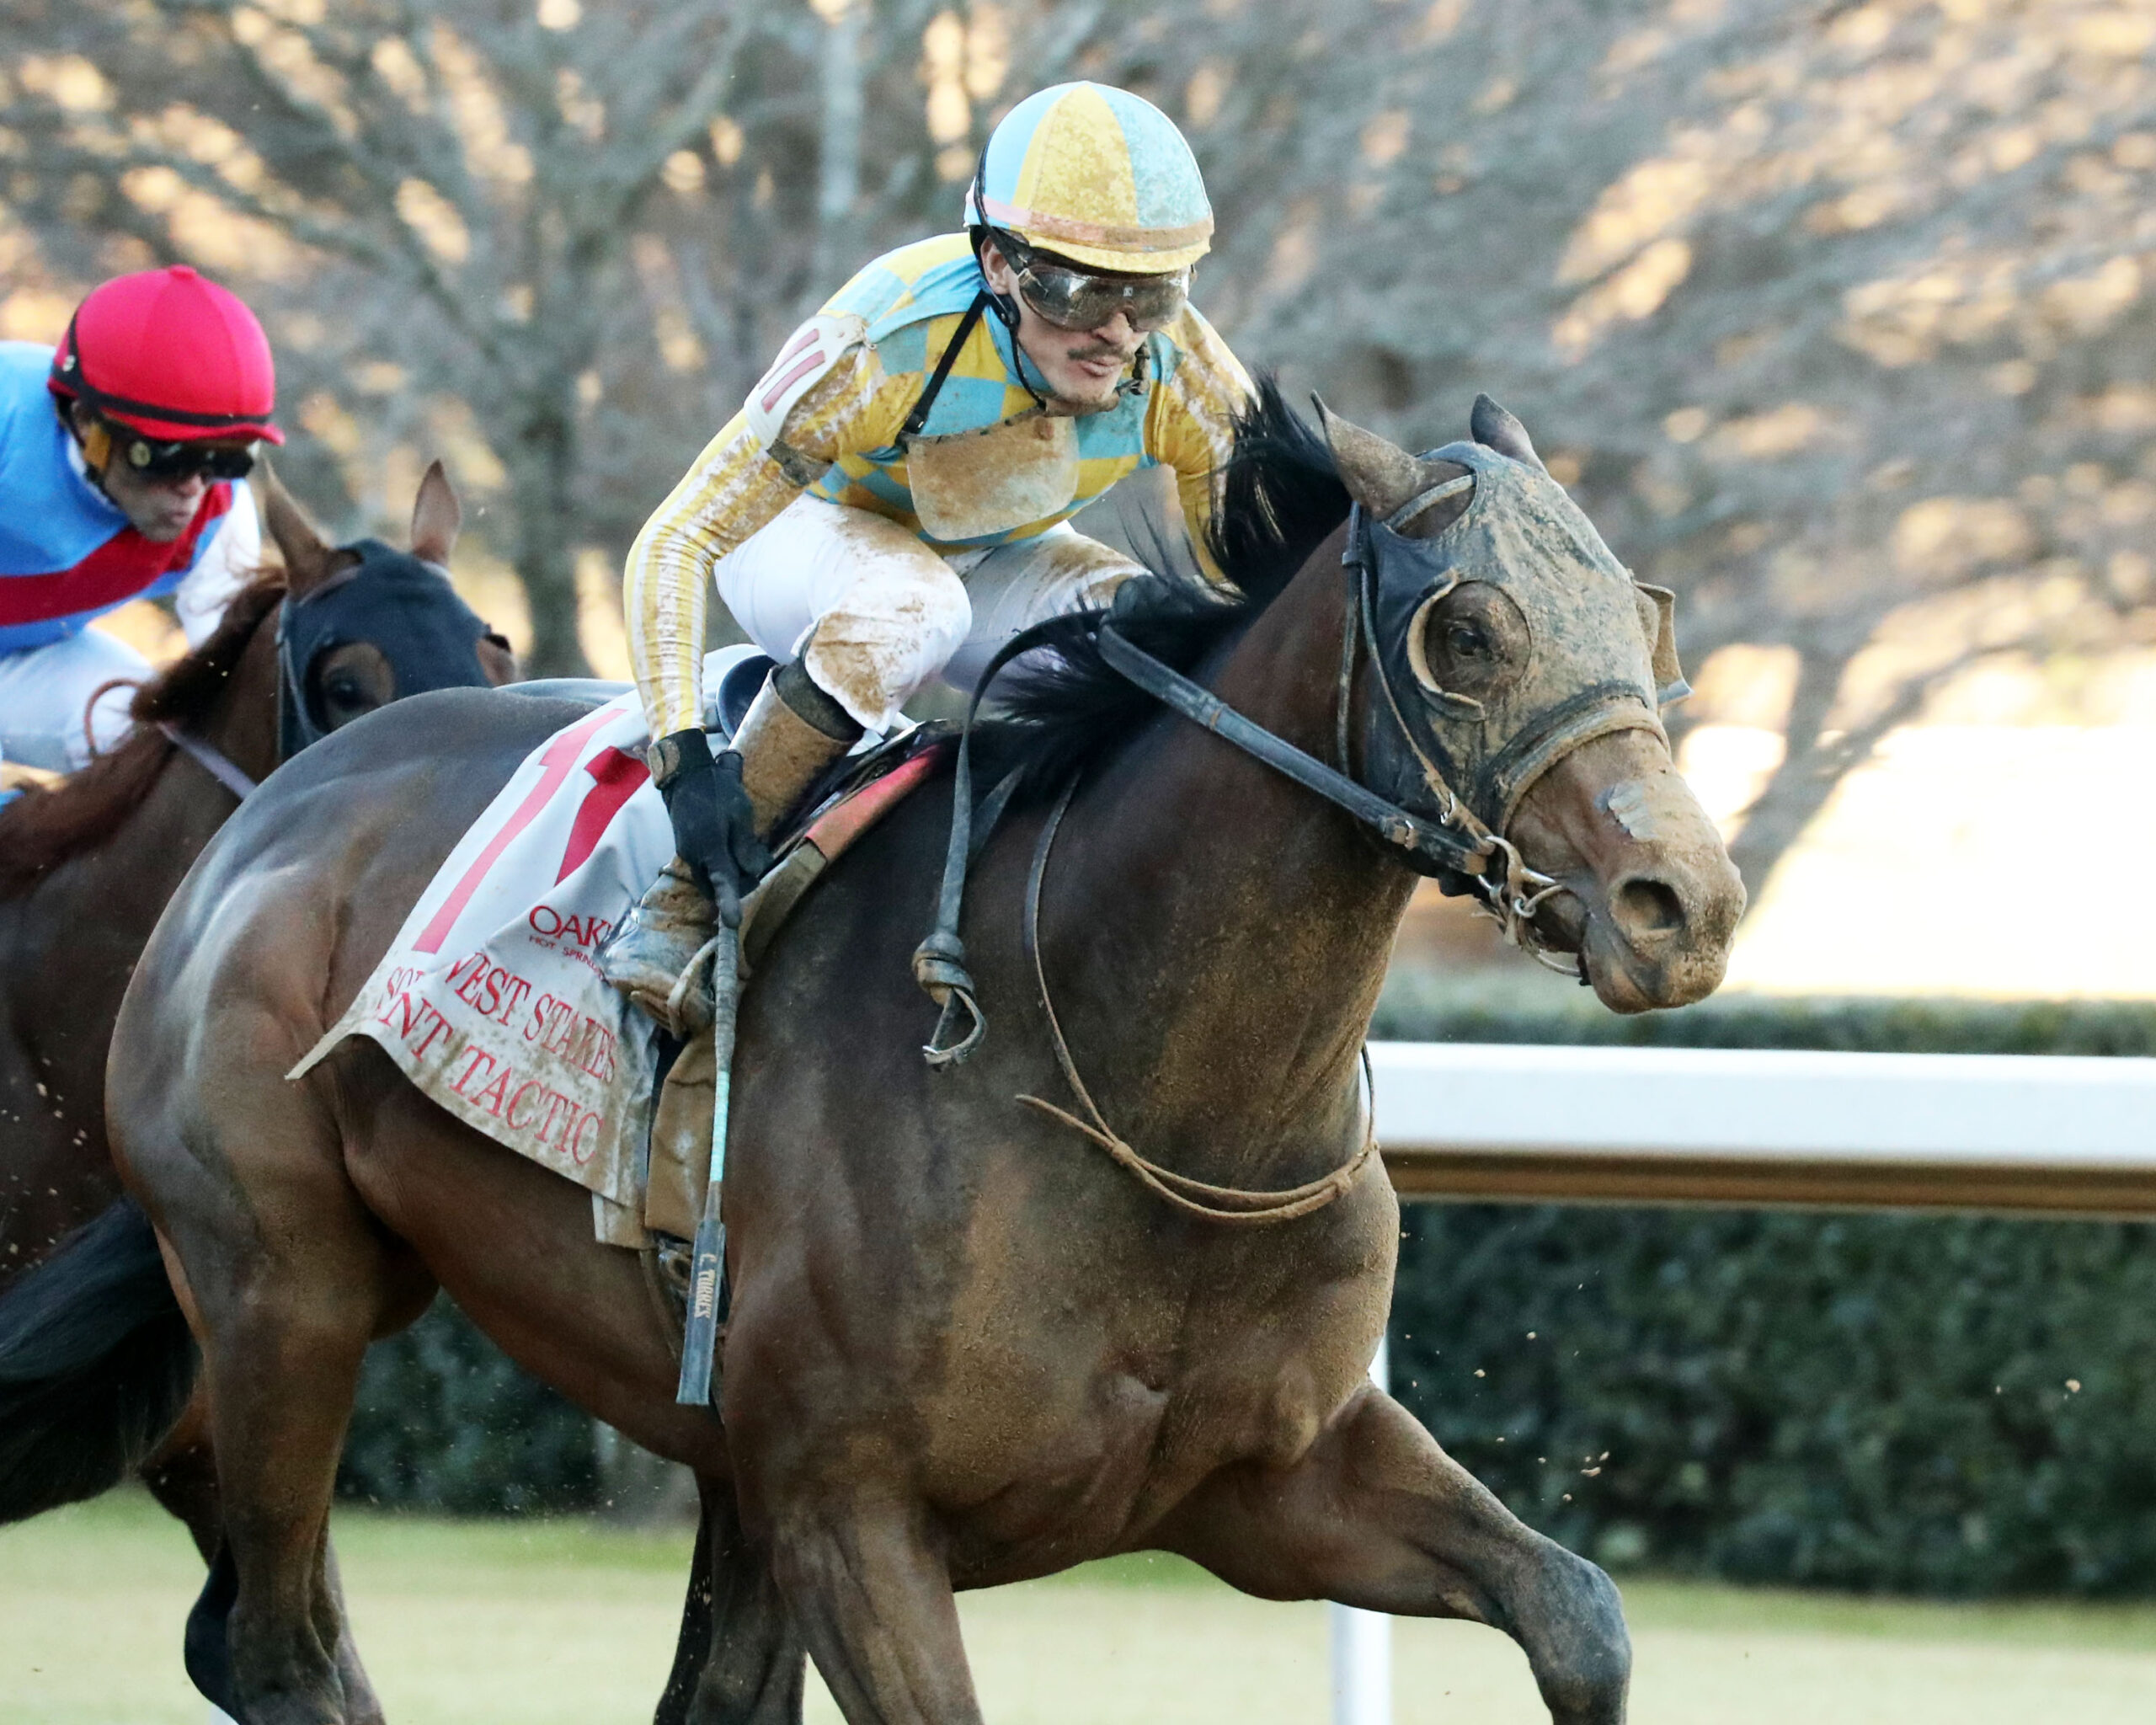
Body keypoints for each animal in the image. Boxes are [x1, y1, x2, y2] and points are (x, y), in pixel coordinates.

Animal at [9, 390, 1741, 1724]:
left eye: (1642, 610)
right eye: (1471, 630)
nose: (1687, 904)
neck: (1140, 1081)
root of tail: (261, 826)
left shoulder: (1273, 1477)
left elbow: (1580, 1612)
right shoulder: (853, 1513)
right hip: (282, 1293)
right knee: (278, 1647)